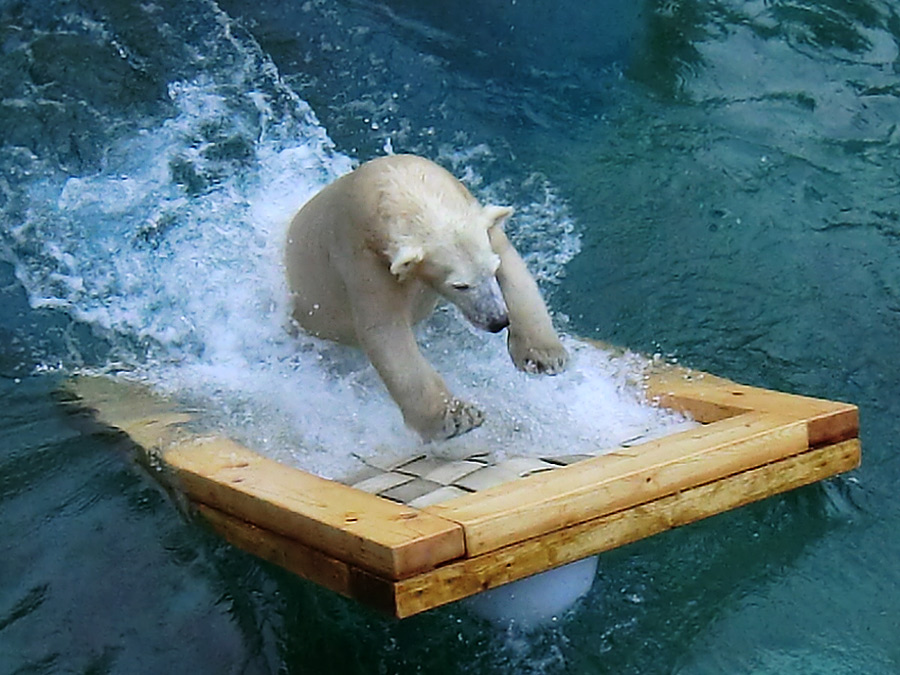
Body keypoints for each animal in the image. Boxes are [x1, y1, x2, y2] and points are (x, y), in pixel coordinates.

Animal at [286, 155, 568, 440]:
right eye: (460, 285)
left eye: (492, 269)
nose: (497, 321)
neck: (403, 184)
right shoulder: (361, 257)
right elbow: (386, 332)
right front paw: (456, 417)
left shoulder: (473, 212)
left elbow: (514, 269)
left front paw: (544, 357)